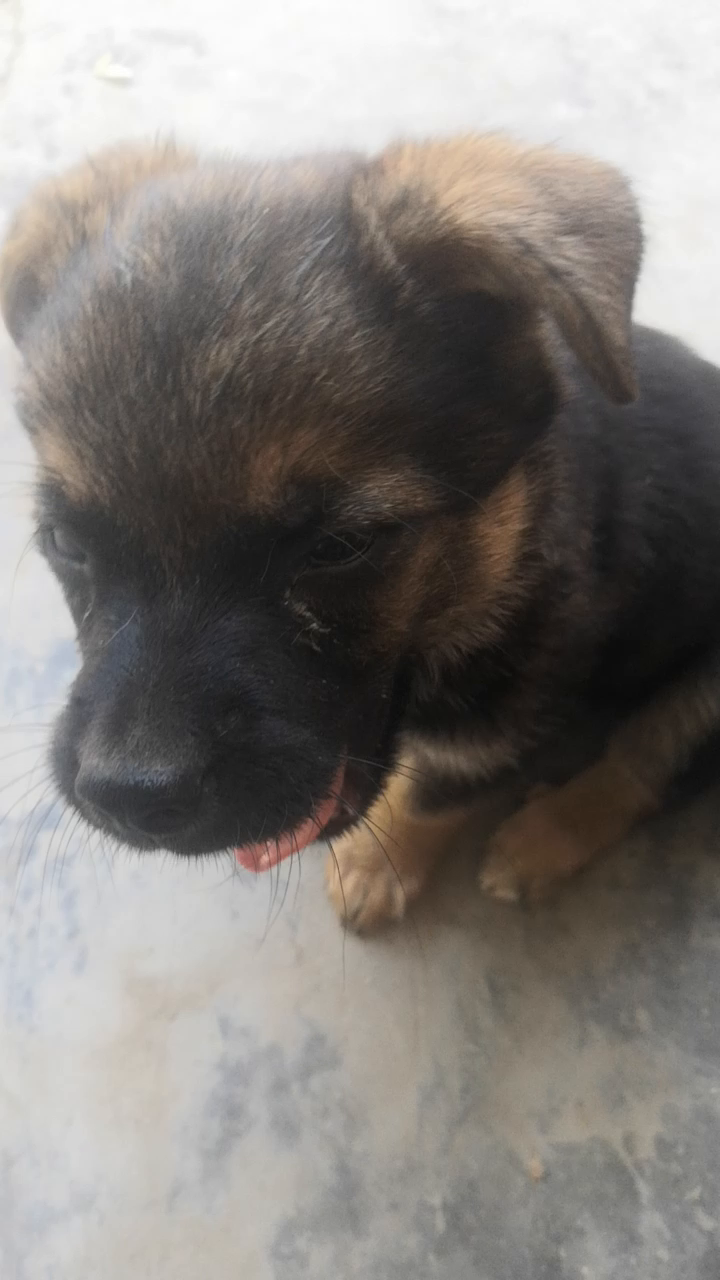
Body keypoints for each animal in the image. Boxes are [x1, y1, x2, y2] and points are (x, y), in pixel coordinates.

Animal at [2, 135, 720, 933]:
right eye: (65, 543)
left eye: (340, 548)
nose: (128, 800)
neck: (519, 535)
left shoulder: (495, 720)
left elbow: (440, 787)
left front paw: (384, 860)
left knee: (645, 765)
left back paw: (543, 838)